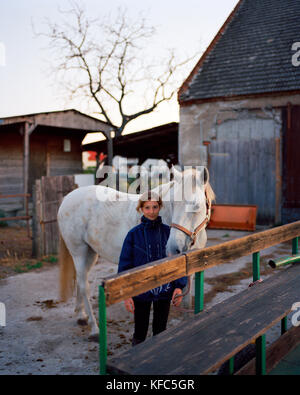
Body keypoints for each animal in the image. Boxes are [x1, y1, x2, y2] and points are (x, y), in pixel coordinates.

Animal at [57, 166, 214, 342]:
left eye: (196, 205)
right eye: (173, 203)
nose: (174, 248)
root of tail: (68, 198)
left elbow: (187, 300)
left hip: (90, 254)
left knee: (79, 280)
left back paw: (81, 316)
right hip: (79, 252)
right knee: (85, 286)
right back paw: (94, 329)